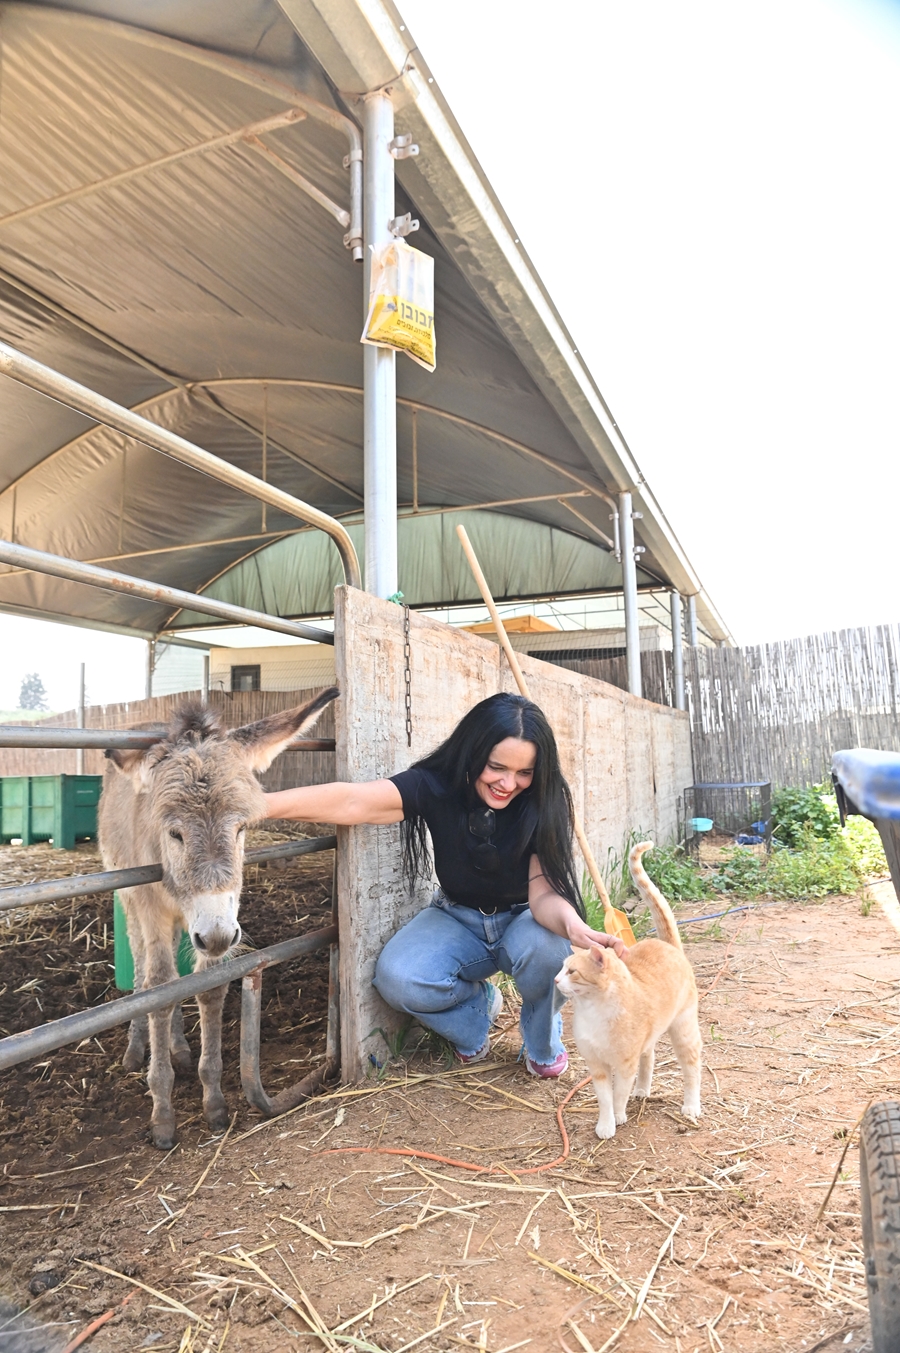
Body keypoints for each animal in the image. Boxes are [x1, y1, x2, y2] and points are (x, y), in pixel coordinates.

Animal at [554, 838, 703, 1136]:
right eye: (562, 968)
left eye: (572, 971)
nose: (555, 979)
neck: (593, 1011)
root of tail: (668, 945)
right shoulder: (597, 1066)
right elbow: (604, 1098)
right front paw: (605, 1124)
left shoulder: (624, 1065)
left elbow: (618, 1094)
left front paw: (619, 1116)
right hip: (650, 1041)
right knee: (649, 1057)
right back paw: (643, 1089)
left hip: (684, 1030)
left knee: (692, 1067)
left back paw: (691, 1106)